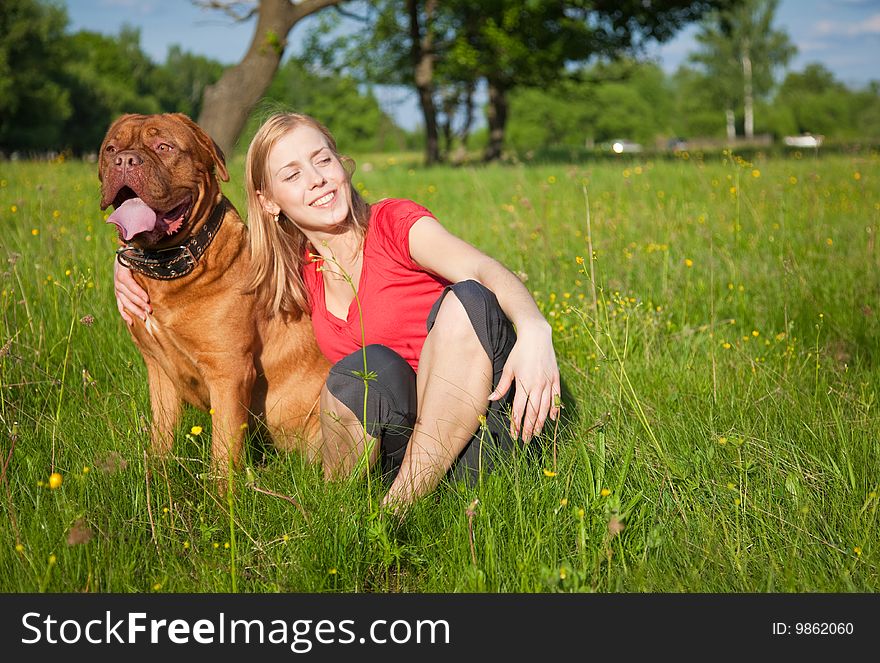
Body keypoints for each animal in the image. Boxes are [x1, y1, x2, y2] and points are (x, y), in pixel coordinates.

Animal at [97, 114, 330, 486]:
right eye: (110, 149)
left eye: (164, 147)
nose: (125, 161)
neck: (170, 266)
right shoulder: (158, 368)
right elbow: (161, 433)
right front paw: (156, 476)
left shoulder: (229, 372)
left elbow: (223, 451)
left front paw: (224, 498)